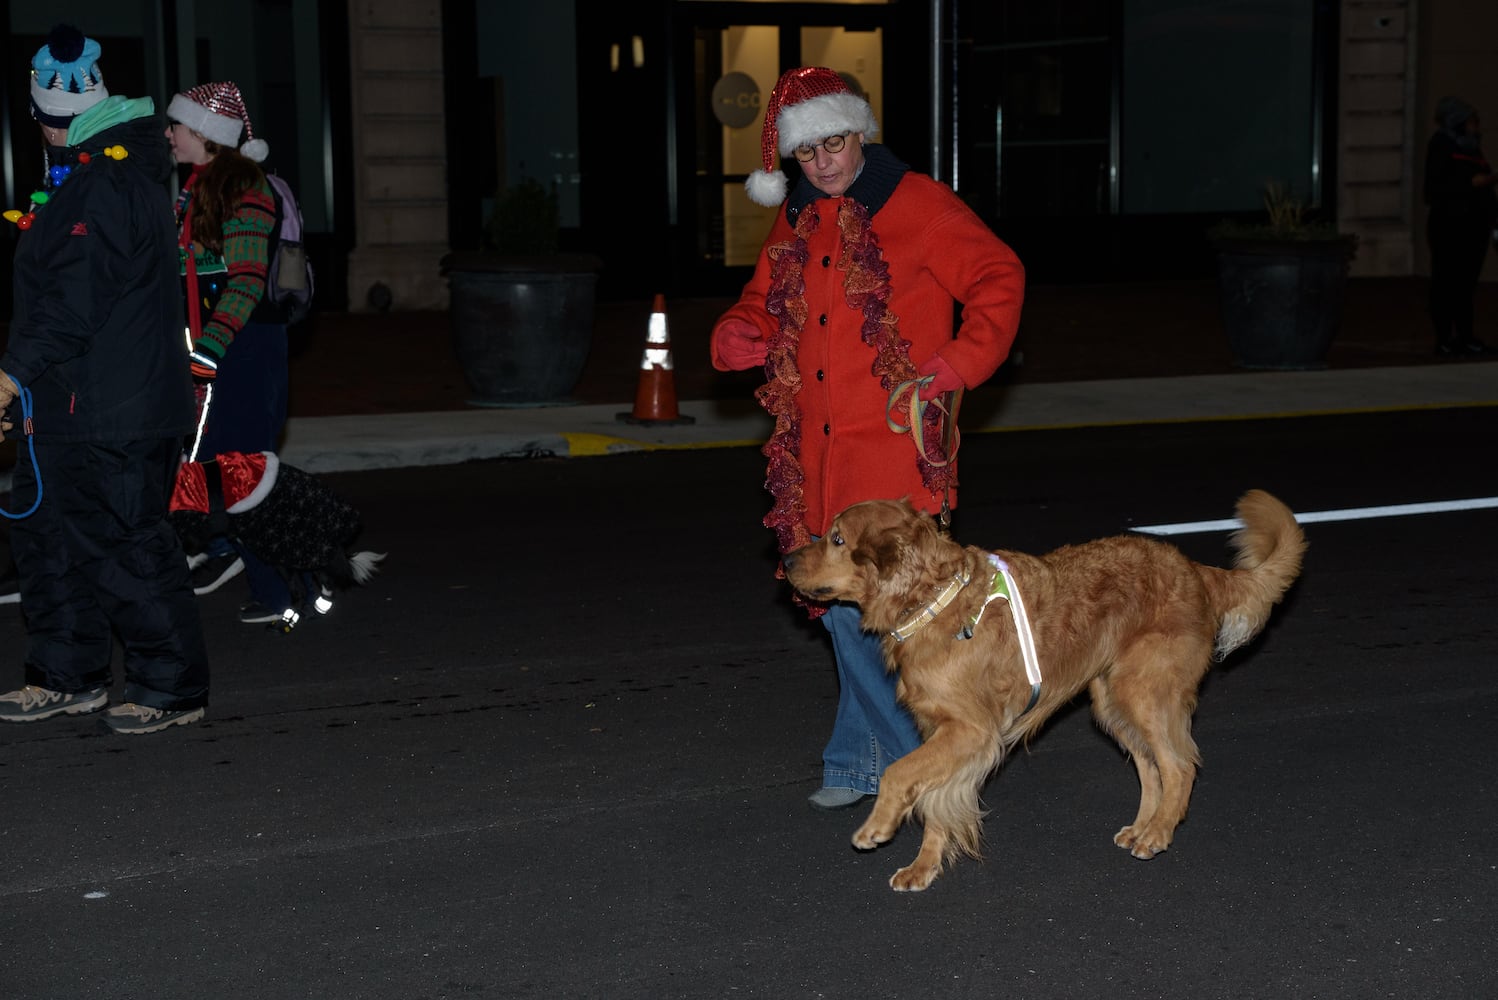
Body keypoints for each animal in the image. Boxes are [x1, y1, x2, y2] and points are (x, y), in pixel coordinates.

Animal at [778, 491, 1306, 892]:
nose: (784, 559)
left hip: (1143, 691)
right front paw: (923, 867)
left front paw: (877, 827)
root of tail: (1194, 568)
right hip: (1111, 702)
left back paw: (1158, 833)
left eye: (837, 539)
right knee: (1152, 768)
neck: (934, 601)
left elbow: (896, 773)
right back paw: (1144, 826)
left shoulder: (972, 731)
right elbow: (935, 804)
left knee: (1179, 765)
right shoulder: (944, 735)